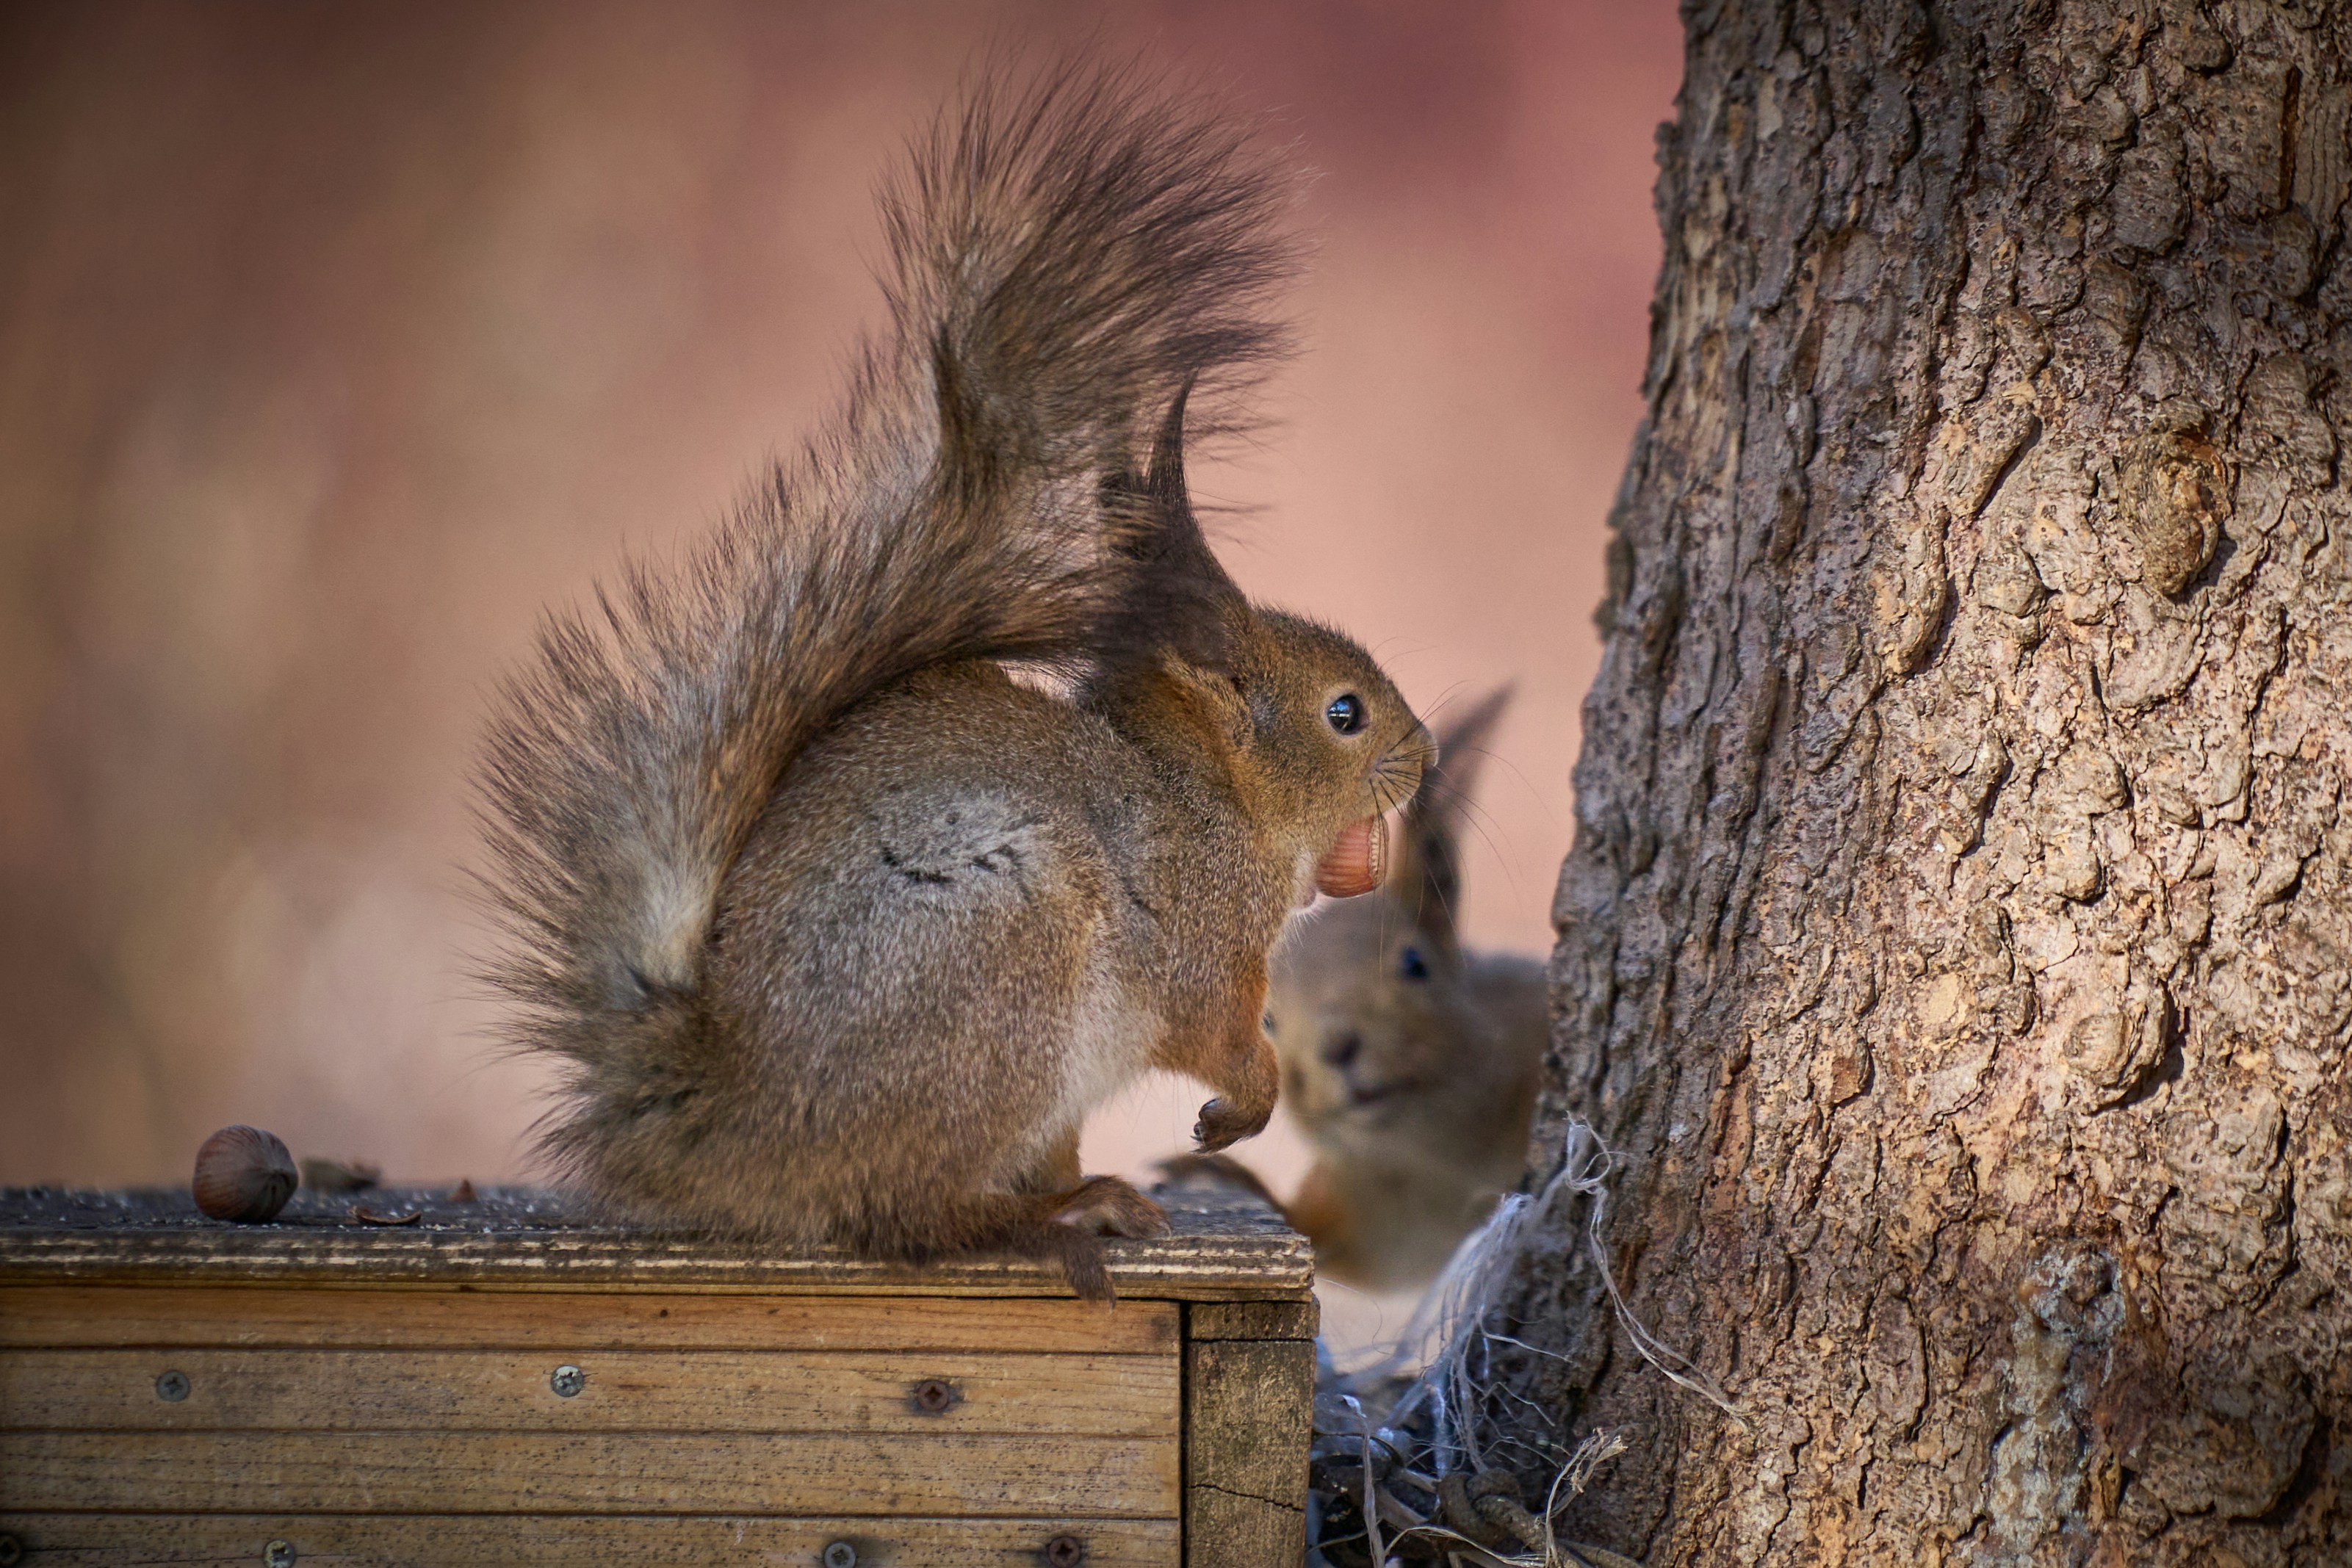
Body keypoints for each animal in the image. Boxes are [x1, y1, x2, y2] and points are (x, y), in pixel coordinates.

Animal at [474, 67, 1430, 1301]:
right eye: (1344, 714)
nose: (1426, 752)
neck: (1215, 796)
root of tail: (733, 1118)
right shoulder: (1195, 937)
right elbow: (1213, 1027)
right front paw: (1245, 1102)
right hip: (1000, 969)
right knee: (908, 1215)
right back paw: (1047, 1220)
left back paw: (1078, 1190)